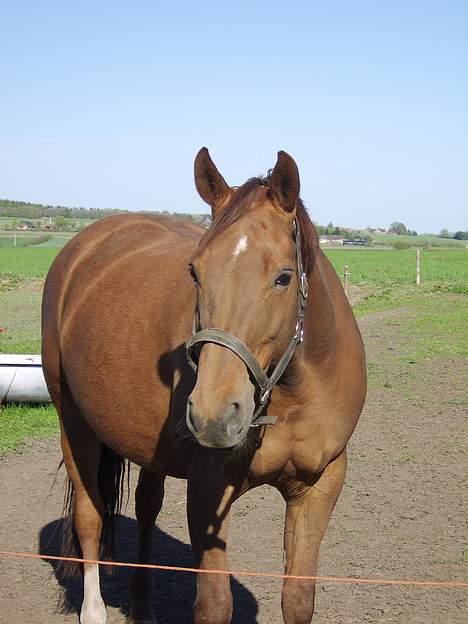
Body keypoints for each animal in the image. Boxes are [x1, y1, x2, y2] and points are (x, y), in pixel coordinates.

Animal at [42, 150, 368, 624]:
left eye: (283, 277)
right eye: (195, 272)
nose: (214, 414)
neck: (289, 394)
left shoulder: (319, 485)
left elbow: (298, 598)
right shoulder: (208, 487)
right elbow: (214, 604)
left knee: (146, 505)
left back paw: (143, 606)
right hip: (74, 423)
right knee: (90, 517)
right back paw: (94, 609)